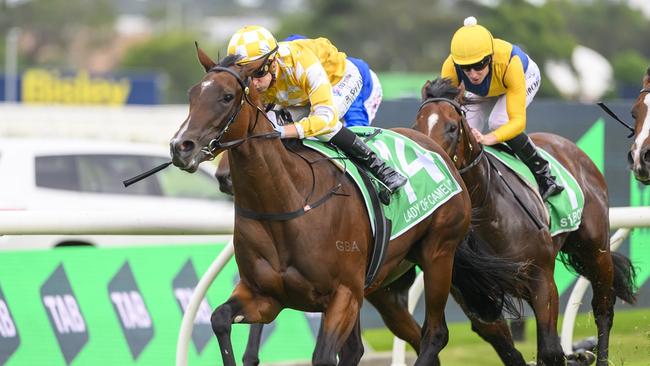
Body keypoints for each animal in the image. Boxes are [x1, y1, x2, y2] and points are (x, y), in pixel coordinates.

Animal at [170, 45, 474, 366]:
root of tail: (431, 143)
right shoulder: (264, 296)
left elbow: (324, 356)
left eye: (227, 96)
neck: (285, 202)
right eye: (192, 95)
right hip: (387, 285)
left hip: (438, 254)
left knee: (436, 334)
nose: (180, 146)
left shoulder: (344, 293)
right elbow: (219, 319)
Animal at [412, 78, 636, 366]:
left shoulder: (541, 279)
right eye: (416, 127)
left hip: (595, 250)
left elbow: (550, 351)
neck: (488, 208)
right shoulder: (471, 294)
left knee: (604, 309)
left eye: (452, 127)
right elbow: (508, 349)